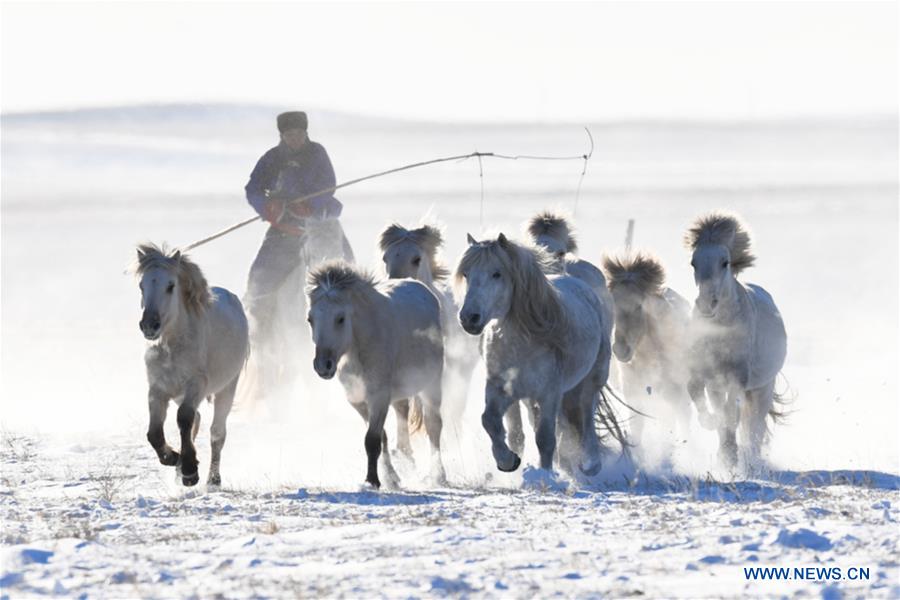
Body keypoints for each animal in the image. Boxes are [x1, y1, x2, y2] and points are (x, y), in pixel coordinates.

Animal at [135, 244, 249, 487]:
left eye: (170, 286)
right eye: (141, 285)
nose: (149, 325)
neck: (171, 346)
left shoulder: (196, 384)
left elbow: (184, 418)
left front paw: (189, 470)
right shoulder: (158, 389)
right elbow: (154, 432)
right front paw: (173, 459)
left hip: (227, 387)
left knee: (217, 433)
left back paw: (213, 479)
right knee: (197, 420)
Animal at [306, 261, 446, 488]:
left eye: (340, 318)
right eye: (310, 319)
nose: (323, 366)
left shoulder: (379, 396)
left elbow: (372, 440)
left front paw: (372, 480)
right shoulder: (358, 400)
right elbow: (381, 437)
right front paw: (391, 478)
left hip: (432, 384)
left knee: (434, 426)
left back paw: (438, 475)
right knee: (402, 414)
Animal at [455, 233, 613, 475]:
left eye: (497, 273)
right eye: (466, 273)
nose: (469, 318)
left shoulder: (549, 394)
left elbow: (545, 438)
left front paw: (545, 476)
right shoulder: (500, 389)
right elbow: (490, 421)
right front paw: (508, 461)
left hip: (592, 379)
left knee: (586, 414)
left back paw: (591, 464)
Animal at [684, 213, 787, 468]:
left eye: (724, 262)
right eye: (693, 263)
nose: (706, 305)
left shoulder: (737, 377)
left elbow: (732, 414)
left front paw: (730, 454)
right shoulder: (705, 373)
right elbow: (696, 392)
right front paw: (712, 425)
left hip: (762, 388)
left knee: (755, 425)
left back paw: (751, 458)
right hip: (720, 386)